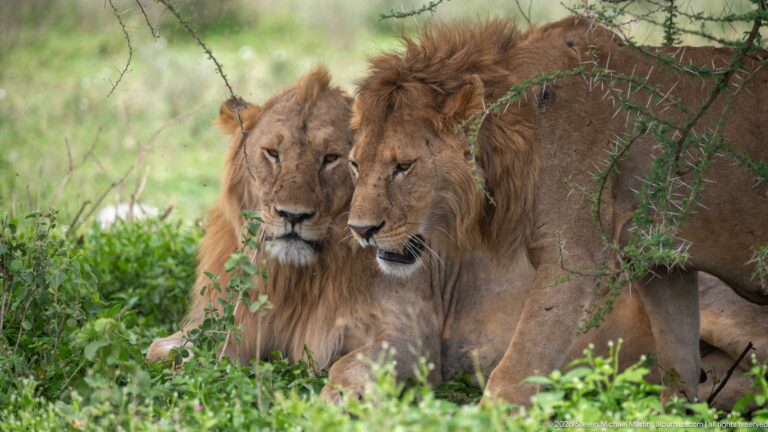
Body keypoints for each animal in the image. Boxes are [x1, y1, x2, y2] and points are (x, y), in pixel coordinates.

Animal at [347, 18, 768, 404]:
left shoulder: (576, 260)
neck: (518, 135)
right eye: (355, 165)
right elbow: (679, 371)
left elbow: (516, 371)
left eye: (404, 166)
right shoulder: (661, 266)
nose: (359, 229)